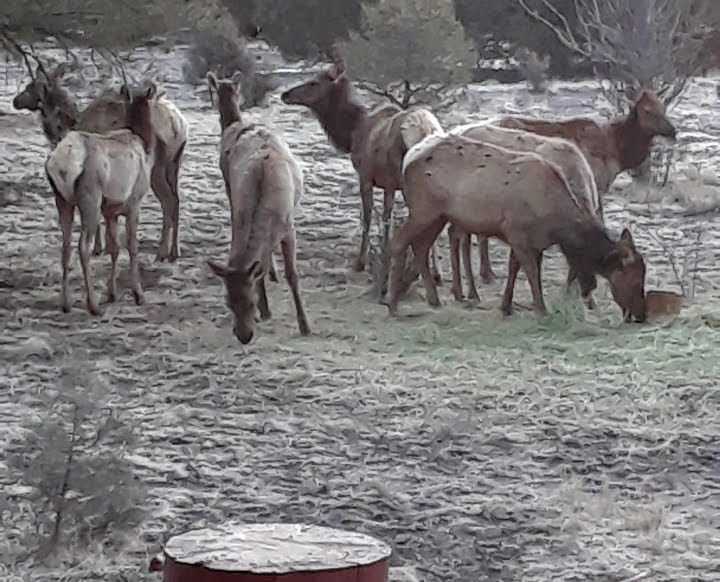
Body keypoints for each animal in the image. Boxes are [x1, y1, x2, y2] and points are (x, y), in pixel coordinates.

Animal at [13, 60, 188, 262]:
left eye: (30, 86)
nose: (15, 101)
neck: (67, 125)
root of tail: (178, 125)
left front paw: (98, 248)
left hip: (157, 168)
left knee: (167, 200)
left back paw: (161, 252)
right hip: (174, 164)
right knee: (176, 200)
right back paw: (174, 251)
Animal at [45, 83, 158, 316]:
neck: (142, 140)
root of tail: (61, 164)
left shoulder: (110, 210)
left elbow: (114, 247)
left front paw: (112, 293)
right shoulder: (134, 201)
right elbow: (131, 246)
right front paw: (138, 294)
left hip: (63, 201)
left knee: (65, 246)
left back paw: (66, 303)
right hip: (90, 198)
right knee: (82, 246)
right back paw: (93, 304)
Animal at [206, 72, 310, 344]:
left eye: (249, 301)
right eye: (227, 302)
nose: (244, 336)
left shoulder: (289, 226)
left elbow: (293, 275)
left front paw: (304, 325)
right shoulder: (238, 211)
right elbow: (259, 266)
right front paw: (266, 310)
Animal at [280, 58, 444, 286]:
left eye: (313, 82)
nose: (285, 94)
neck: (352, 134)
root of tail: (425, 129)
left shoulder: (367, 176)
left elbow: (372, 217)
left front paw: (364, 262)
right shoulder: (389, 184)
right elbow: (386, 216)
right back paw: (437, 273)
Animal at [385, 133, 647, 324]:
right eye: (634, 280)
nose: (641, 315)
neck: (556, 223)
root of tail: (407, 160)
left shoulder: (531, 240)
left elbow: (516, 267)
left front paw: (507, 306)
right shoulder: (517, 233)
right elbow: (530, 271)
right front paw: (541, 309)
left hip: (438, 215)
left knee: (420, 246)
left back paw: (434, 299)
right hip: (423, 208)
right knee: (399, 241)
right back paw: (393, 304)